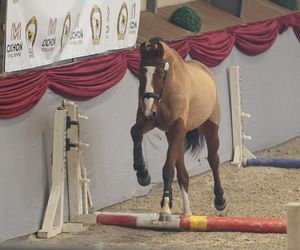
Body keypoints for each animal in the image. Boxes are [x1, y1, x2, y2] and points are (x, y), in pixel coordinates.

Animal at [130, 37, 226, 221]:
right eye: (140, 73)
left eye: (161, 74)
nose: (148, 110)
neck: (166, 93)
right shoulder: (153, 123)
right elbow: (135, 132)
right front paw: (142, 174)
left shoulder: (177, 128)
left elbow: (167, 168)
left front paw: (165, 209)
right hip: (173, 135)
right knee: (182, 173)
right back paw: (186, 213)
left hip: (210, 127)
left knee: (213, 159)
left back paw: (220, 201)